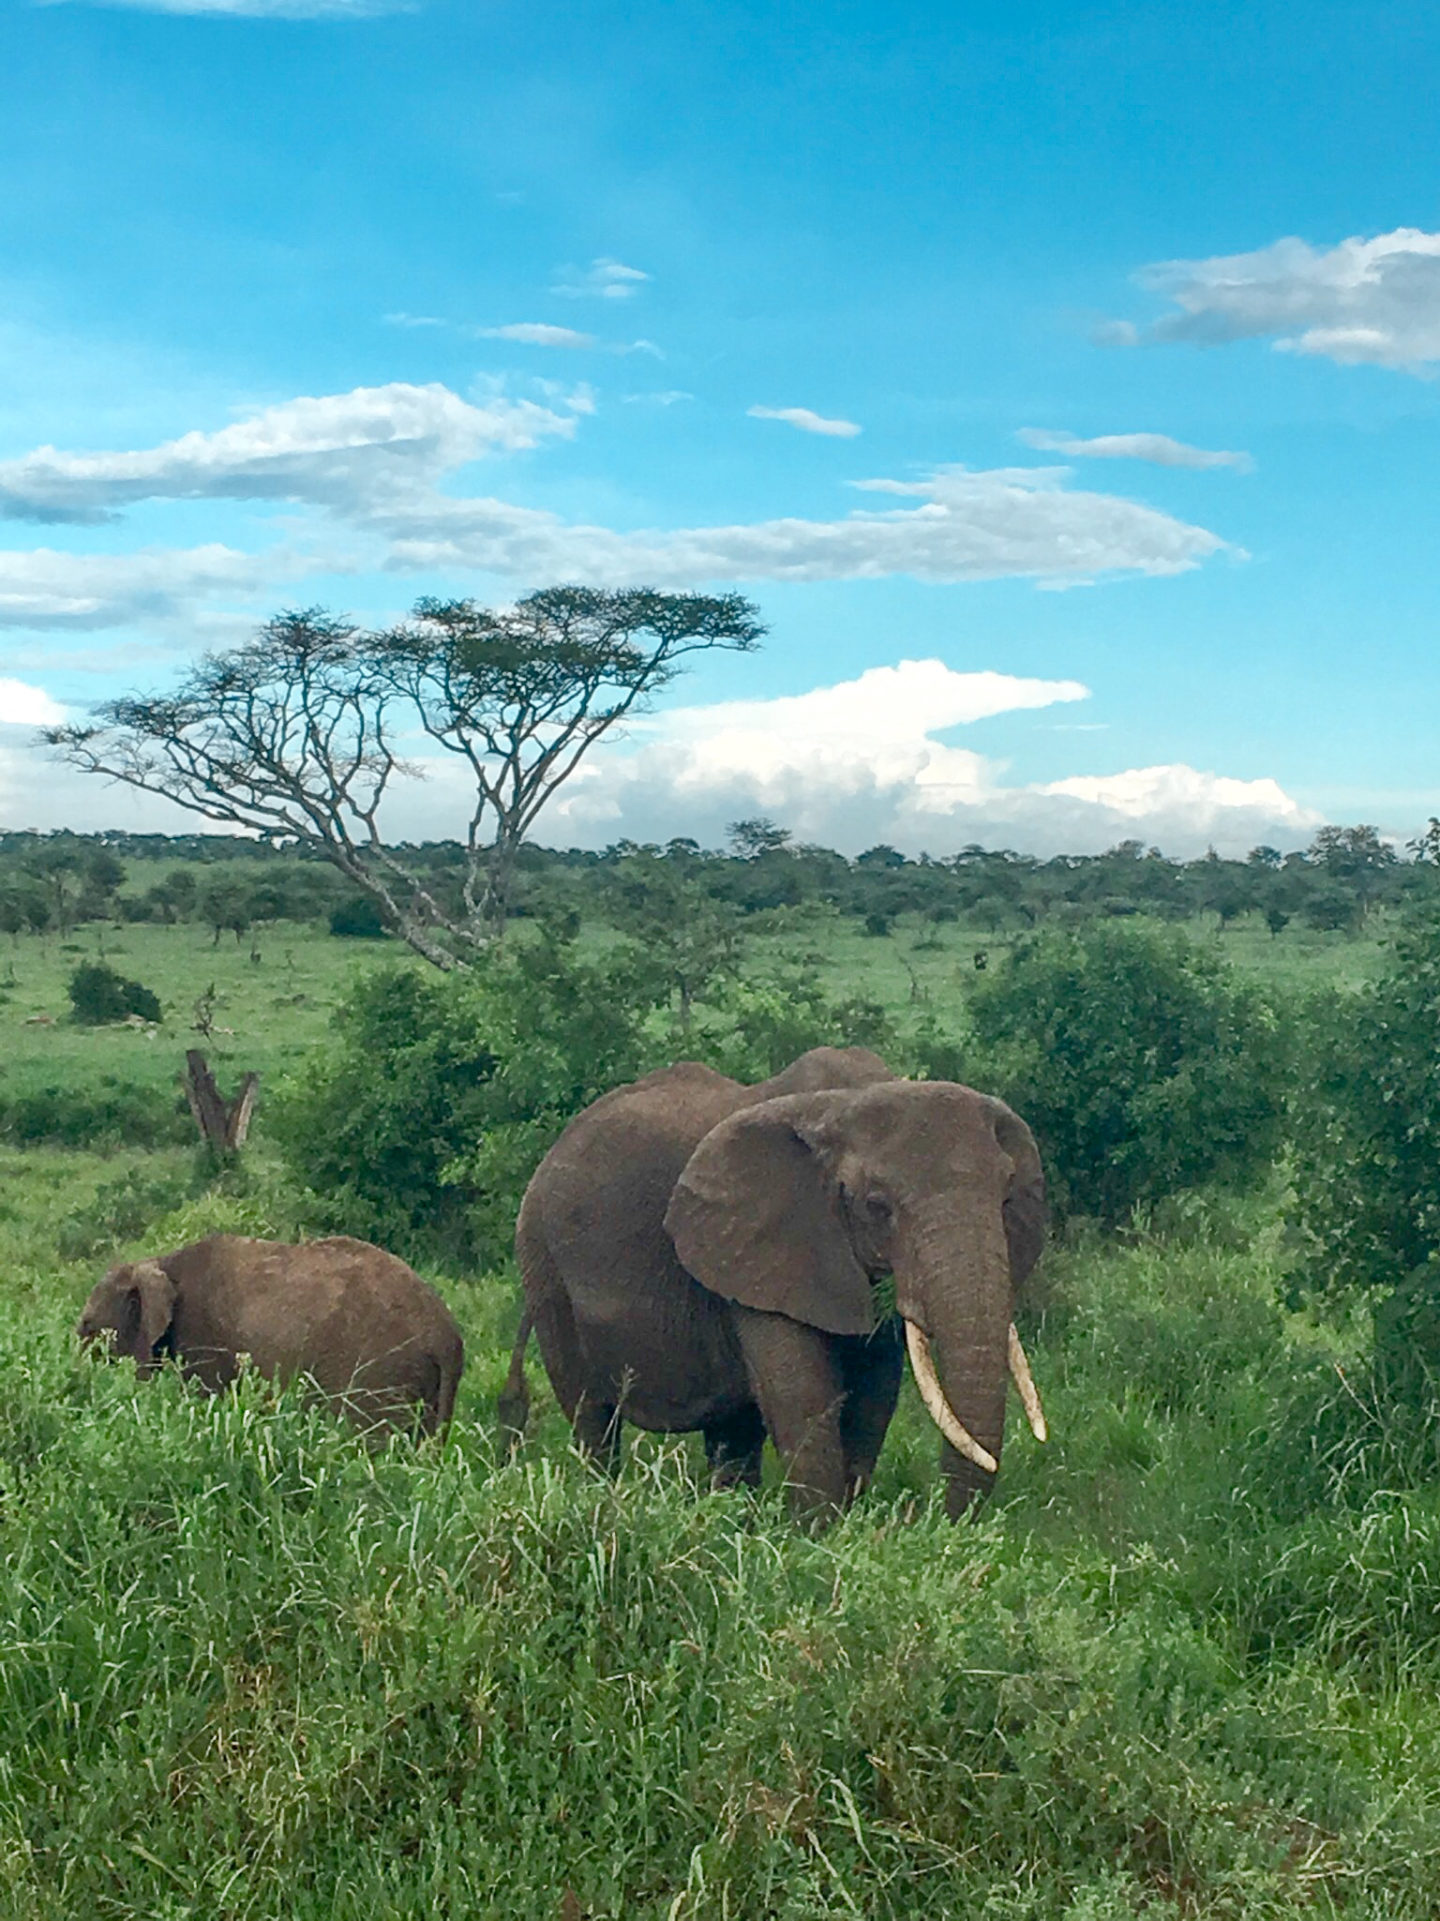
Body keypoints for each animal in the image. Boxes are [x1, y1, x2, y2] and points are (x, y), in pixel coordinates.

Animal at [506, 1045, 1052, 1521]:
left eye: (1006, 1199)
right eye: (877, 1206)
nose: (945, 1520)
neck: (848, 1100)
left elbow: (873, 1394)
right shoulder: (763, 1244)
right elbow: (803, 1394)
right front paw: (819, 1539)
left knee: (733, 1430)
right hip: (543, 1261)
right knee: (592, 1414)